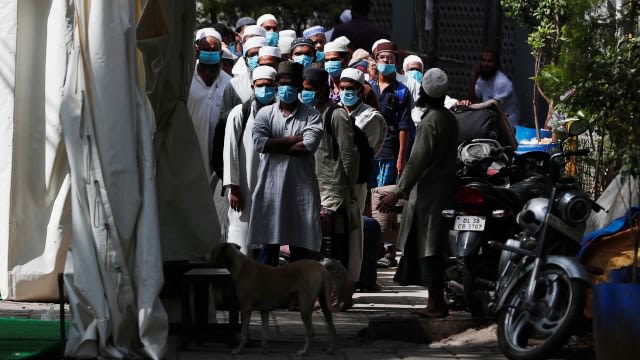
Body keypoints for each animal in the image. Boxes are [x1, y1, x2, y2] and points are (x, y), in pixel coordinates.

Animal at [211, 243, 344, 356]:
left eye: (213, 251)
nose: (206, 258)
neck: (240, 265)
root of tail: (320, 267)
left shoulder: (245, 309)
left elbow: (244, 333)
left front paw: (238, 350)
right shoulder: (264, 310)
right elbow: (264, 332)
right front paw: (264, 349)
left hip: (305, 306)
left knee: (311, 331)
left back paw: (304, 352)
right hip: (324, 303)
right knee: (332, 329)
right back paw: (330, 349)